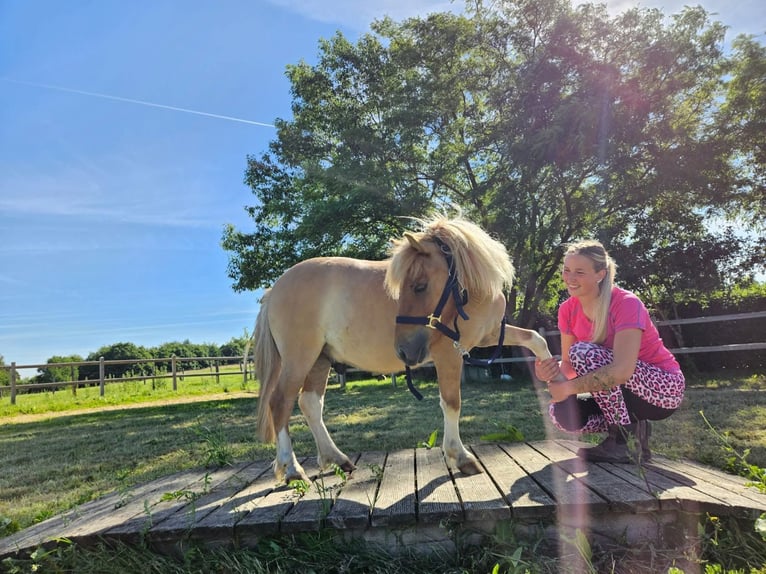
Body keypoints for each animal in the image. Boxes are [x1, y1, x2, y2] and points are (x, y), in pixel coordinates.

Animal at [249, 215, 553, 484]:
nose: (404, 351)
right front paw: (460, 456)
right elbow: (451, 402)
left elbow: (537, 339)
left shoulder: (487, 336)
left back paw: (337, 459)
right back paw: (292, 469)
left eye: (419, 286)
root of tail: (275, 289)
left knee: (310, 403)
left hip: (320, 360)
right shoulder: (449, 353)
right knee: (281, 402)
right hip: (299, 358)